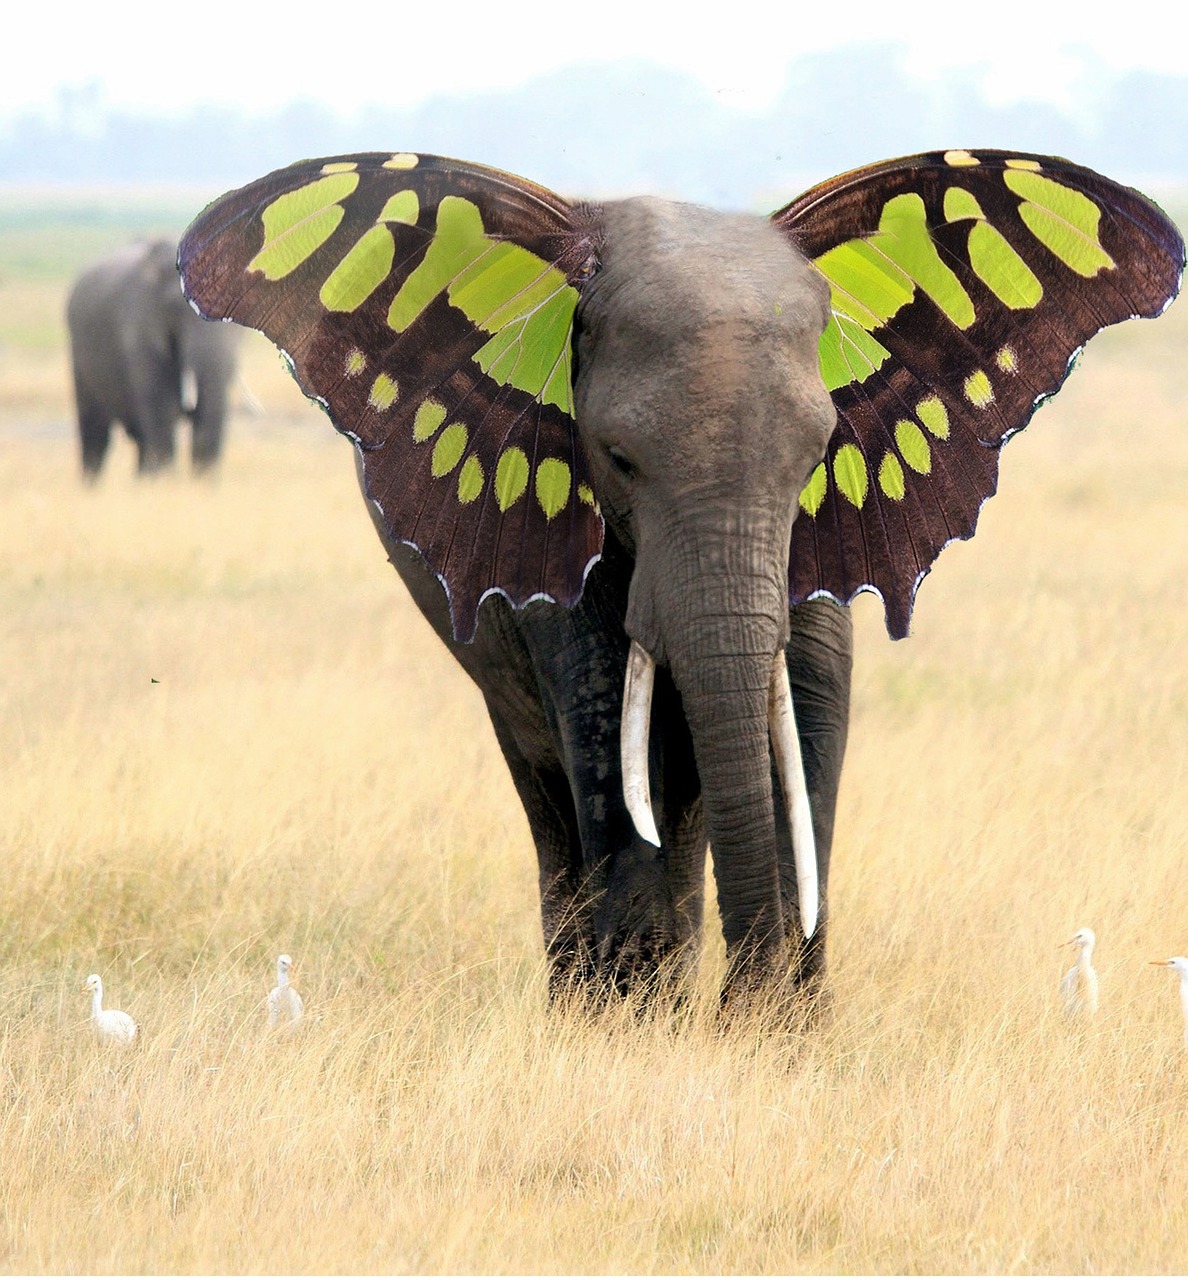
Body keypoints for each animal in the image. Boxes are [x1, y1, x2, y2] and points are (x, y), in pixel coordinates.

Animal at [180, 147, 1182, 1008]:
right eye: (619, 460)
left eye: (815, 456)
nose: (745, 1007)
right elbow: (604, 731)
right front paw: (637, 1028)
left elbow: (811, 710)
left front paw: (781, 1035)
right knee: (556, 790)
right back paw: (590, 993)